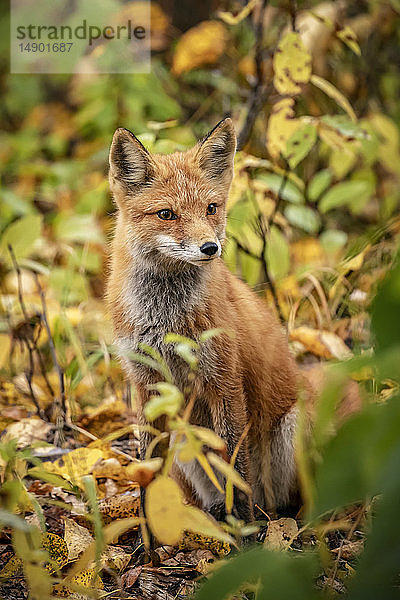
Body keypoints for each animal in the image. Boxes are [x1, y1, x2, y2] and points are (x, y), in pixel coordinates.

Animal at [106, 117, 360, 524]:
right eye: (166, 214)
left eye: (211, 208)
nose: (210, 248)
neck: (164, 319)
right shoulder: (147, 385)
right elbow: (148, 471)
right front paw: (148, 530)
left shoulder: (223, 379)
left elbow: (234, 463)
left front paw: (243, 528)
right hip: (185, 437)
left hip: (293, 431)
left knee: (293, 502)